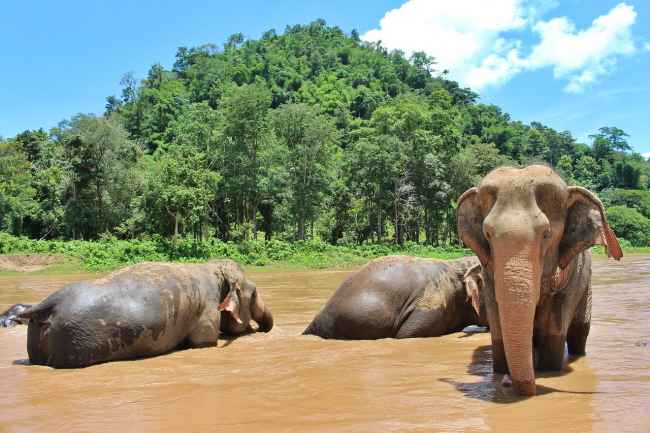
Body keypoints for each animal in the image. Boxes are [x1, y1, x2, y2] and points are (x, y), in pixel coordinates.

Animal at [17, 260, 270, 368]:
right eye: (255, 293)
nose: (262, 329)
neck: (213, 268)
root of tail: (47, 303)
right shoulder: (207, 310)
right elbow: (203, 342)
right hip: (76, 342)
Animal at [454, 165, 620, 394]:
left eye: (546, 234)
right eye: (487, 234)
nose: (506, 382)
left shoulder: (572, 275)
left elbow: (554, 328)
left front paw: (549, 371)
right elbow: (498, 323)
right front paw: (501, 373)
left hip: (586, 288)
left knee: (580, 333)